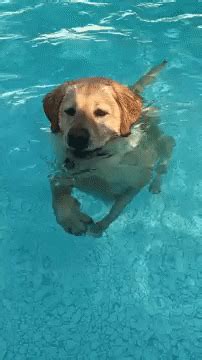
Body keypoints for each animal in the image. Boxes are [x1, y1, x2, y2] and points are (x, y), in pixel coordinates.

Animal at [43, 61, 174, 236]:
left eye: (100, 112)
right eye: (70, 111)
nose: (76, 138)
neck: (98, 161)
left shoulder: (136, 182)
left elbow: (117, 209)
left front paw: (100, 226)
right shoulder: (61, 172)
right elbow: (58, 193)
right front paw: (70, 218)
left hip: (159, 140)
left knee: (167, 150)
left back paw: (156, 183)